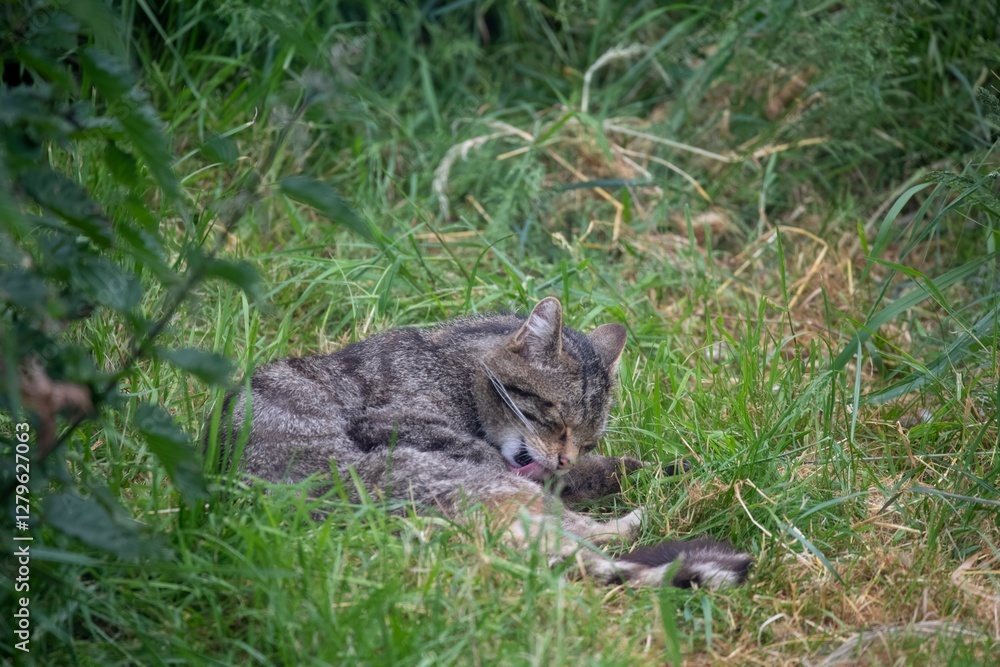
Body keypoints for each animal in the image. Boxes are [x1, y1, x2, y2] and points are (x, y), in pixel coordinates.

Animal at [208, 297, 751, 589]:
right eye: (557, 421)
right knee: (595, 537)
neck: (460, 365)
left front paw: (630, 469)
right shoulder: (396, 418)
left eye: (588, 438)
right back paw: (650, 512)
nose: (565, 457)